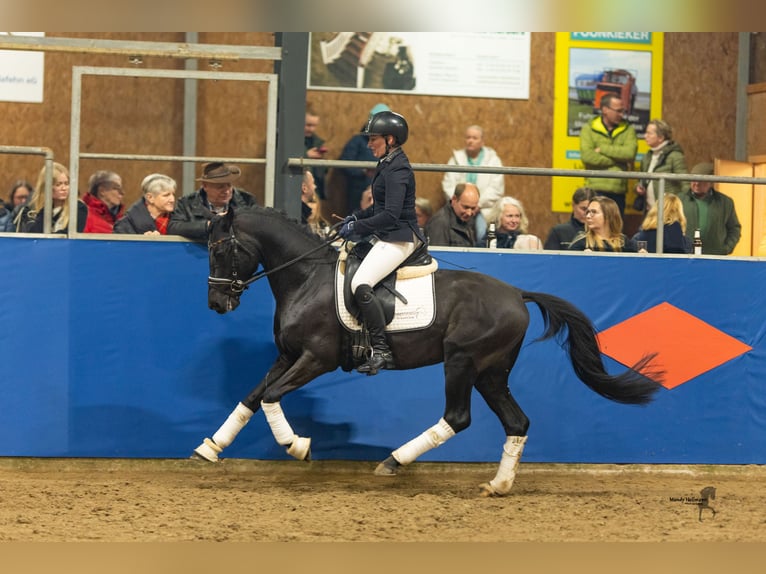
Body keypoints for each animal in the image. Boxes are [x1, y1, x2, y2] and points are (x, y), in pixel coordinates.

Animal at [194, 206, 663, 496]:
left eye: (220, 249)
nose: (216, 304)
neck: (306, 278)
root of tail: (517, 294)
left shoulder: (316, 359)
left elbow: (271, 397)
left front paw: (298, 446)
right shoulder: (288, 357)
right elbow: (252, 396)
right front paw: (210, 448)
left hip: (461, 361)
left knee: (457, 417)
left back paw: (394, 461)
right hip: (491, 372)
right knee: (516, 421)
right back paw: (498, 485)